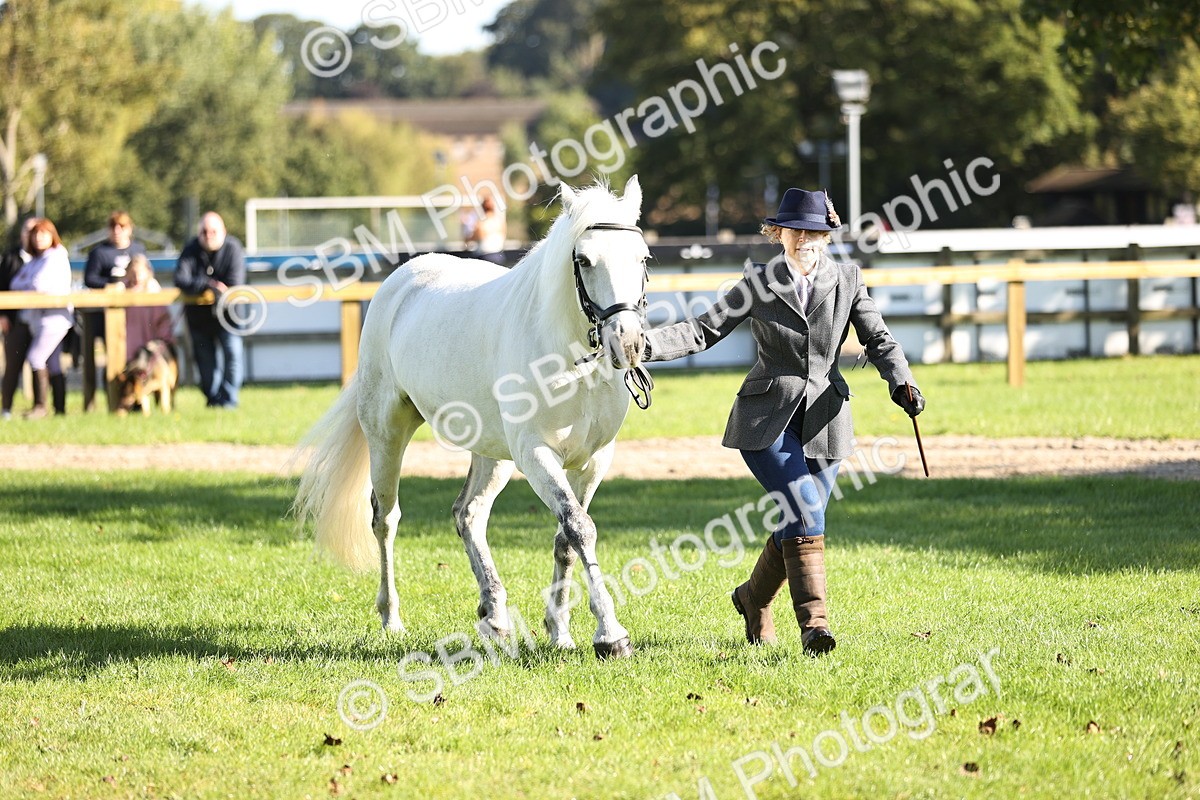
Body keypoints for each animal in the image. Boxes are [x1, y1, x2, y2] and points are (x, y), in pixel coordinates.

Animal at [294, 176, 650, 658]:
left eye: (642, 258)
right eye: (583, 260)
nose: (627, 341)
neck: (567, 358)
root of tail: (400, 282)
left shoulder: (595, 460)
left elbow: (566, 537)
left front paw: (559, 632)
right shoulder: (536, 455)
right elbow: (579, 527)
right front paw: (611, 635)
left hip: (491, 455)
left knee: (469, 515)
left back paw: (495, 617)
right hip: (387, 434)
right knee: (385, 519)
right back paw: (392, 619)